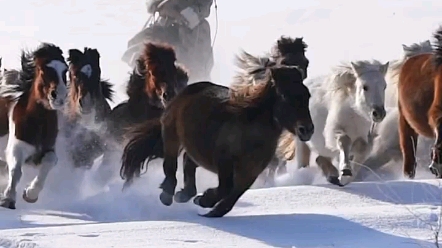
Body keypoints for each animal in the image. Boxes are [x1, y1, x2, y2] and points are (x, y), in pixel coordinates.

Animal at [0, 43, 68, 209]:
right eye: (43, 70)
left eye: (65, 70)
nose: (59, 96)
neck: (38, 123)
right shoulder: (16, 148)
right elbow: (16, 171)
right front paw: (8, 199)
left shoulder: (44, 152)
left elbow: (50, 161)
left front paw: (30, 194)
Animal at [121, 50, 314, 217]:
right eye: (285, 96)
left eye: (307, 96)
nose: (307, 130)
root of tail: (182, 93)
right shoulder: (224, 161)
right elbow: (226, 188)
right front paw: (204, 200)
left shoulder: (250, 173)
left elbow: (231, 198)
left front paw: (209, 208)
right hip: (172, 136)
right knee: (171, 166)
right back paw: (168, 196)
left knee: (188, 162)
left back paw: (184, 195)